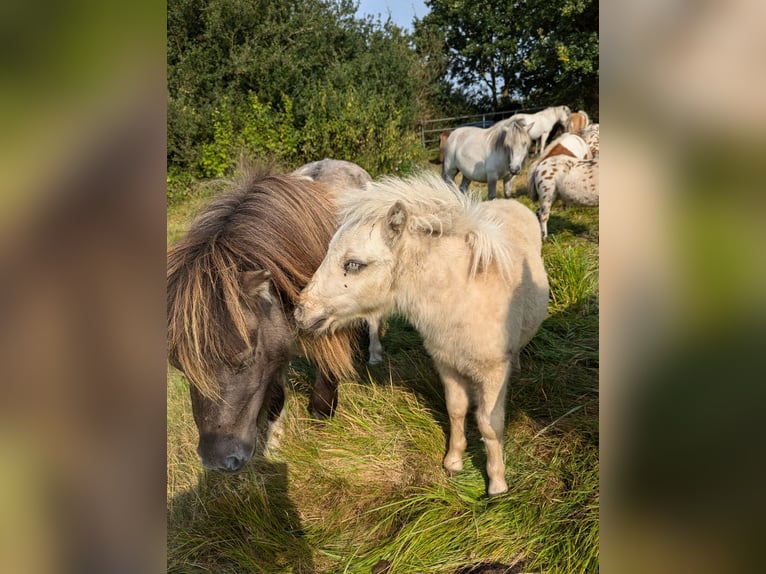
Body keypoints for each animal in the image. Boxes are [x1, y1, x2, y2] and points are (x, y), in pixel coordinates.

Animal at [168, 170, 360, 472]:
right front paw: (274, 446)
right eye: (179, 367)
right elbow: (275, 397)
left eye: (244, 360)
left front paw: (322, 421)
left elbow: (327, 374)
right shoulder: (274, 350)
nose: (217, 461)